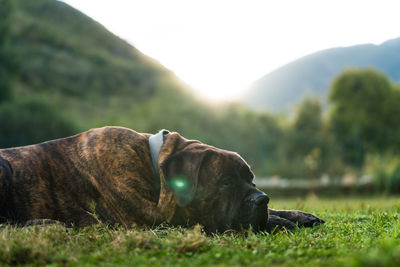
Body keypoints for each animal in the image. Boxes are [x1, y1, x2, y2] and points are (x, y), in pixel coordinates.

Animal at [0, 126, 324, 233]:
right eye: (225, 182)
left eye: (252, 181)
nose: (261, 198)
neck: (151, 159)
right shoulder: (155, 220)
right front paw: (280, 221)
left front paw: (298, 215)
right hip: (4, 166)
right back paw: (40, 224)